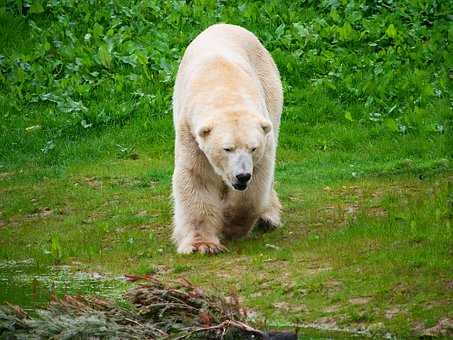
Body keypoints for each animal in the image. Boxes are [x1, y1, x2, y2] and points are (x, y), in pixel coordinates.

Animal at [170, 23, 280, 252]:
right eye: (227, 148)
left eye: (253, 148)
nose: (242, 176)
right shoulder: (190, 133)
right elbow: (197, 177)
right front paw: (202, 245)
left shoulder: (264, 136)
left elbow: (256, 183)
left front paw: (230, 224)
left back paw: (268, 218)